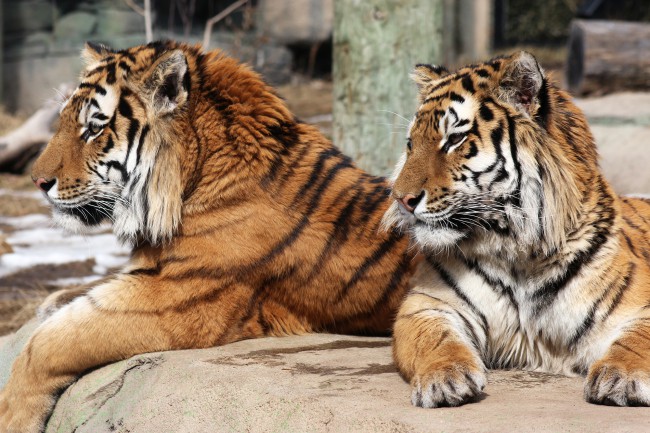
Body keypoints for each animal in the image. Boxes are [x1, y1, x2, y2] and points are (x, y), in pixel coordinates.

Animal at [0, 41, 416, 432]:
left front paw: (13, 417)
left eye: (94, 129)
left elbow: (48, 345)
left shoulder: (179, 301)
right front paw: (55, 299)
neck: (189, 185)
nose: (37, 182)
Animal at [382, 51, 648, 408]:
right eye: (411, 143)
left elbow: (635, 341)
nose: (400, 198)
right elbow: (436, 340)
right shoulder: (428, 305)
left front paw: (622, 376)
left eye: (454, 139)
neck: (519, 250)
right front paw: (444, 378)